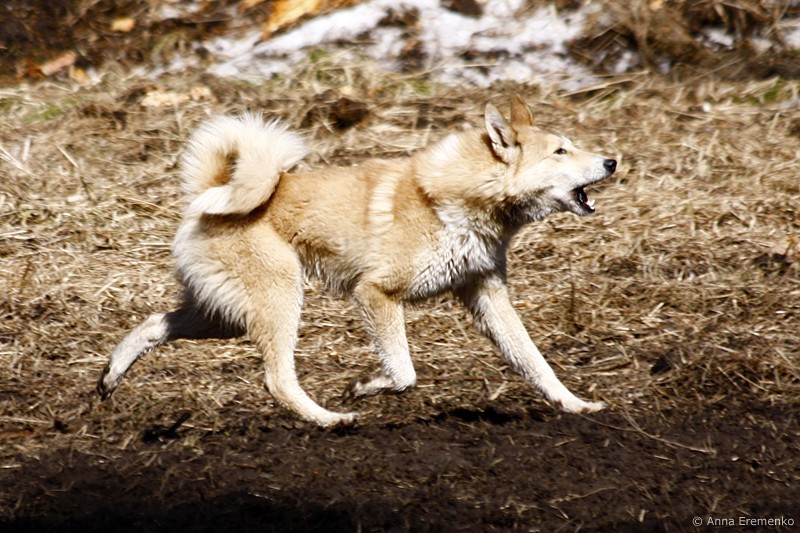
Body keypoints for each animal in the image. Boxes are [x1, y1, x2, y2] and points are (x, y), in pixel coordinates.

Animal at [97, 95, 617, 427]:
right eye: (561, 150)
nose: (612, 161)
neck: (458, 199)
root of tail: (207, 195)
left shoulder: (488, 296)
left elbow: (536, 363)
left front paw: (576, 406)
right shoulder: (375, 293)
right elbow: (403, 372)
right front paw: (363, 389)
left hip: (226, 314)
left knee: (153, 324)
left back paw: (110, 377)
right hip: (278, 302)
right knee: (277, 381)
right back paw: (331, 419)